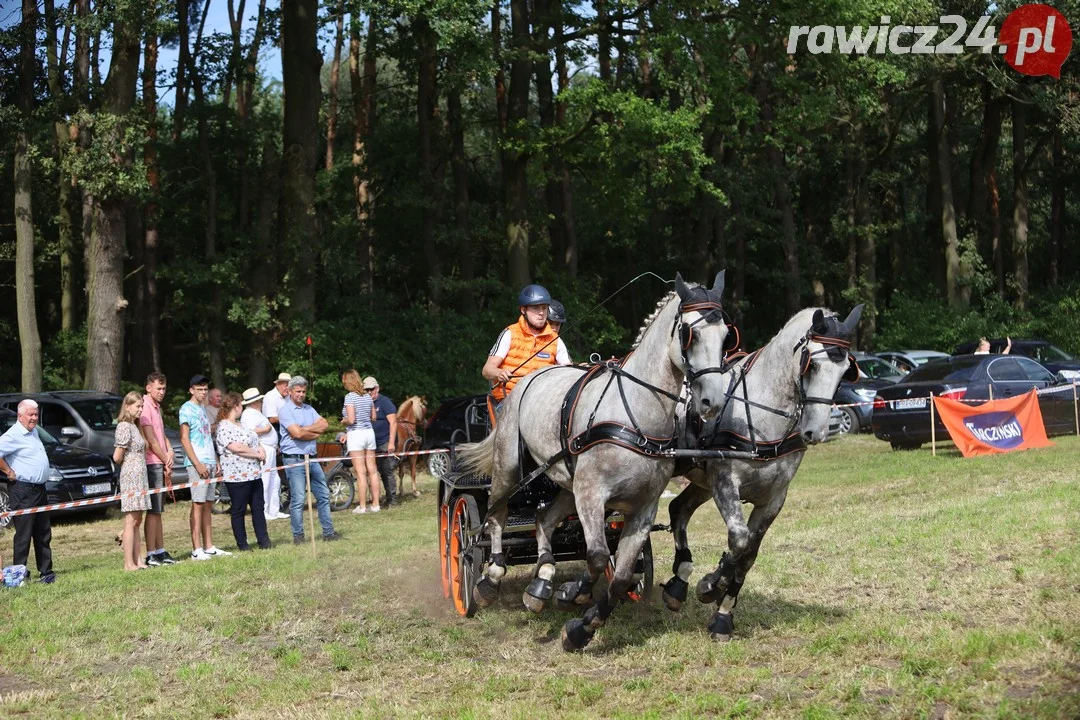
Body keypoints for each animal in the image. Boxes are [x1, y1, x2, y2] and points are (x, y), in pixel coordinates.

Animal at [460, 272, 730, 651]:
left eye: (726, 334)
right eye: (689, 332)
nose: (711, 402)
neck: (635, 414)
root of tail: (528, 379)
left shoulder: (642, 508)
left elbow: (621, 575)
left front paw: (581, 626)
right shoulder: (591, 495)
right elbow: (599, 555)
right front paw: (573, 594)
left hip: (565, 483)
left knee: (544, 519)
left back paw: (541, 583)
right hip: (510, 469)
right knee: (495, 518)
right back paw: (490, 579)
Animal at [656, 304, 859, 643]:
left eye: (845, 371)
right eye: (812, 365)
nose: (815, 432)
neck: (763, 412)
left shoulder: (773, 498)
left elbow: (748, 554)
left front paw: (723, 612)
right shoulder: (725, 482)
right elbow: (739, 540)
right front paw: (711, 583)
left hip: (701, 482)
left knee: (678, 509)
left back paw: (678, 584)